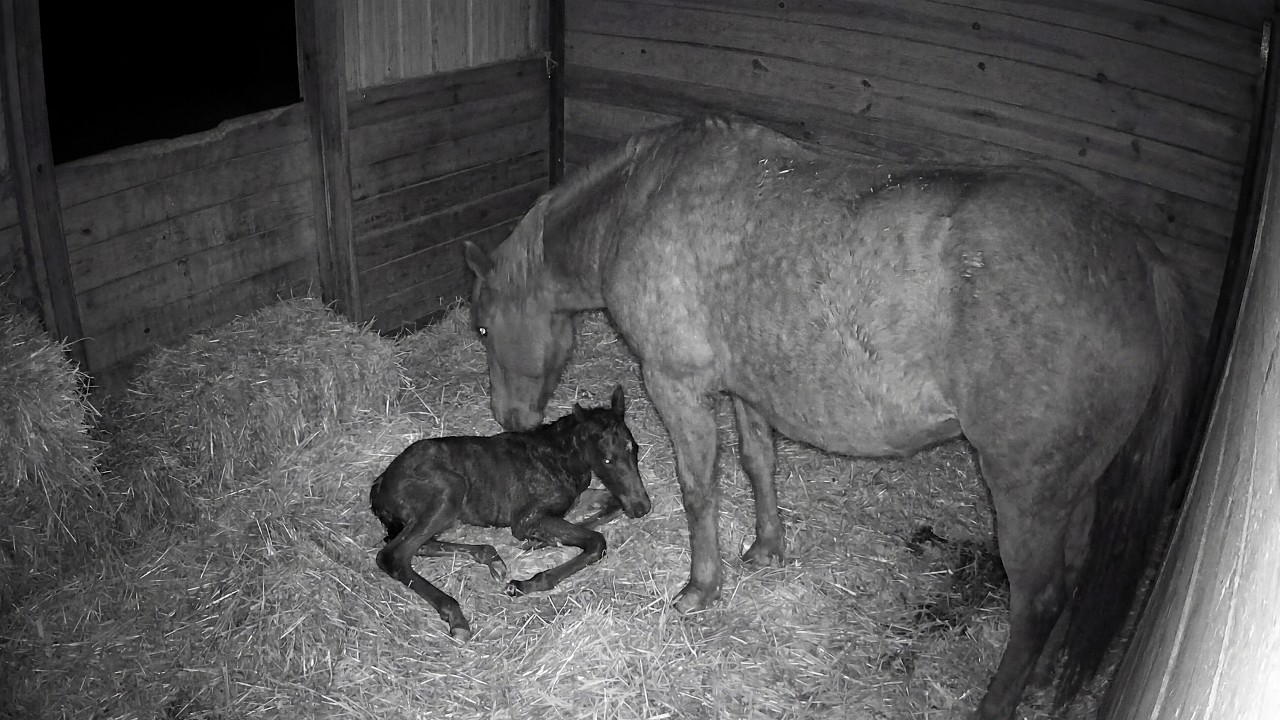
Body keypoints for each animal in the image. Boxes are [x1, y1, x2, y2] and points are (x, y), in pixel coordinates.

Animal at [369, 384, 652, 641]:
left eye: (635, 448)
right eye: (607, 459)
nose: (642, 507)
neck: (560, 457)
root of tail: (380, 485)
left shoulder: (575, 499)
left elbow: (611, 506)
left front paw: (539, 543)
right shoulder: (526, 519)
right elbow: (595, 541)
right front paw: (525, 583)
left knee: (421, 544)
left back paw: (491, 558)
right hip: (450, 490)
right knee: (393, 555)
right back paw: (456, 616)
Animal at [462, 116, 1202, 719]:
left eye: (482, 328)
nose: (510, 420)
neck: (640, 202)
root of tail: (1141, 263)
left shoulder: (677, 386)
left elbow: (699, 492)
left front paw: (701, 588)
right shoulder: (745, 389)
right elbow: (758, 464)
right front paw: (767, 548)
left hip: (1028, 493)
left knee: (1039, 598)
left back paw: (999, 701)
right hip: (1071, 489)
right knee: (1071, 574)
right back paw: (1044, 679)